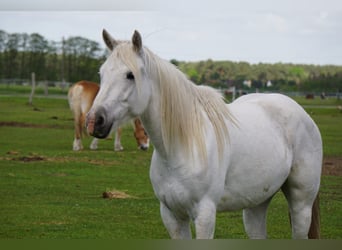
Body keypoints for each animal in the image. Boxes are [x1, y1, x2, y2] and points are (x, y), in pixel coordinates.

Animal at [87, 30, 322, 239]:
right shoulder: (172, 215)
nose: (94, 121)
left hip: (301, 204)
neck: (181, 147)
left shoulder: (205, 214)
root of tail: (303, 114)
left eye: (130, 75)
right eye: (101, 74)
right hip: (257, 203)